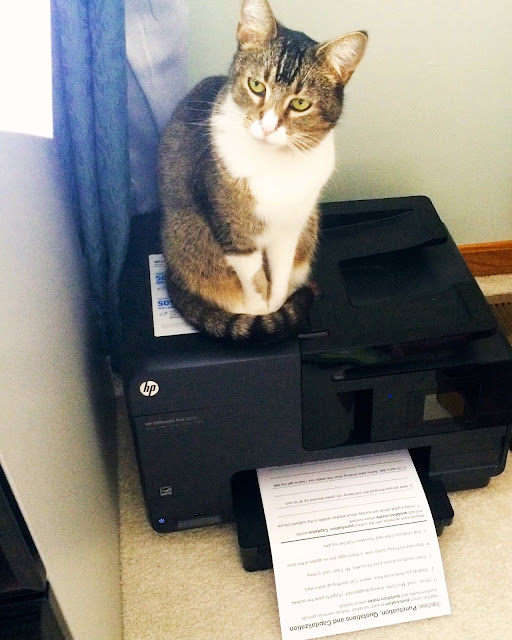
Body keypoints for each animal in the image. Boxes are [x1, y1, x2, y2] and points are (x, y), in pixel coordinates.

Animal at [158, 0, 367, 340]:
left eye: (300, 104)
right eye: (256, 86)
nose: (268, 127)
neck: (276, 164)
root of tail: (170, 273)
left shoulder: (292, 228)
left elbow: (279, 275)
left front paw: (279, 304)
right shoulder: (235, 233)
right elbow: (255, 283)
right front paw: (264, 315)